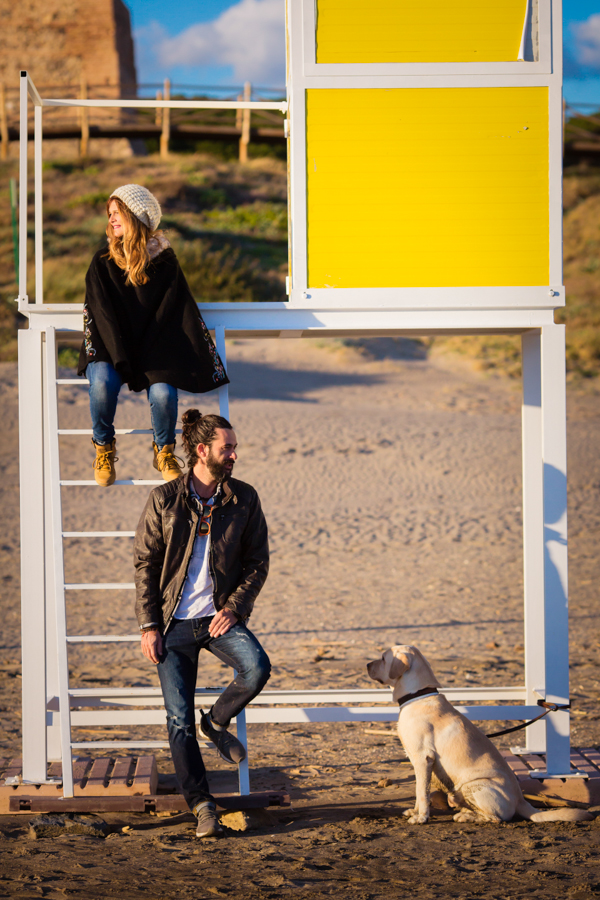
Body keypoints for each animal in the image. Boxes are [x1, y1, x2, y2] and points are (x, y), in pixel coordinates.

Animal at [366, 644, 592, 828]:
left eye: (383, 658)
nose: (367, 663)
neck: (417, 694)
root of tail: (522, 801)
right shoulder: (418, 762)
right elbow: (418, 790)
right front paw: (414, 812)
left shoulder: (423, 759)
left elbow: (421, 792)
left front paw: (421, 818)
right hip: (459, 792)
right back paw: (465, 813)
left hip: (474, 785)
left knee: (497, 818)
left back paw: (468, 817)